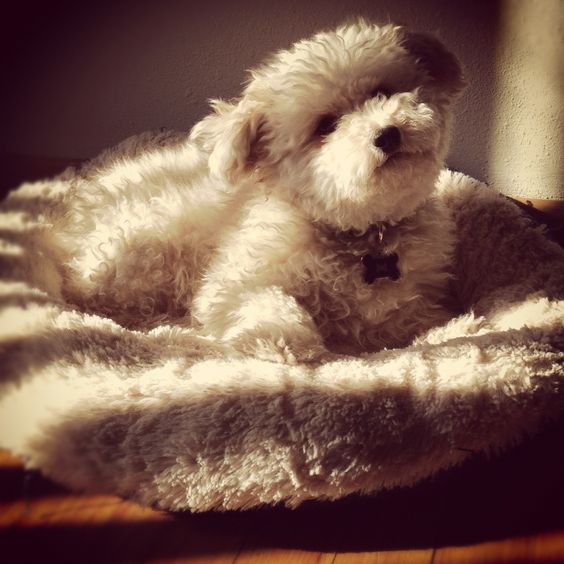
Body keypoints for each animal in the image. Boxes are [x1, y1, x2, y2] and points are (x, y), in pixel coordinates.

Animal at [55, 20, 464, 362]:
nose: (387, 133)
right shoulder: (230, 283)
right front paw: (282, 338)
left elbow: (411, 322)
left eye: (383, 92)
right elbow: (266, 299)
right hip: (144, 245)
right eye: (326, 126)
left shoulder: (408, 304)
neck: (360, 235)